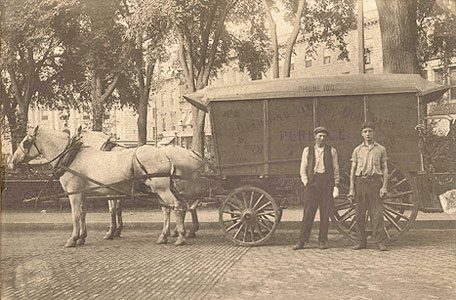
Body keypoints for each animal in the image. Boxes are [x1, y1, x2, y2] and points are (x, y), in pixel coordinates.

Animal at [8, 126, 189, 246]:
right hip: (160, 190)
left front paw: (73, 239)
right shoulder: (83, 193)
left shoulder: (74, 193)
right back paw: (164, 236)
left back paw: (180, 236)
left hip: (162, 189)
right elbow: (83, 213)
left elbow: (75, 214)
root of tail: (164, 153)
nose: (12, 162)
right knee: (168, 209)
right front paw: (82, 237)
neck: (72, 157)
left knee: (177, 206)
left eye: (25, 142)